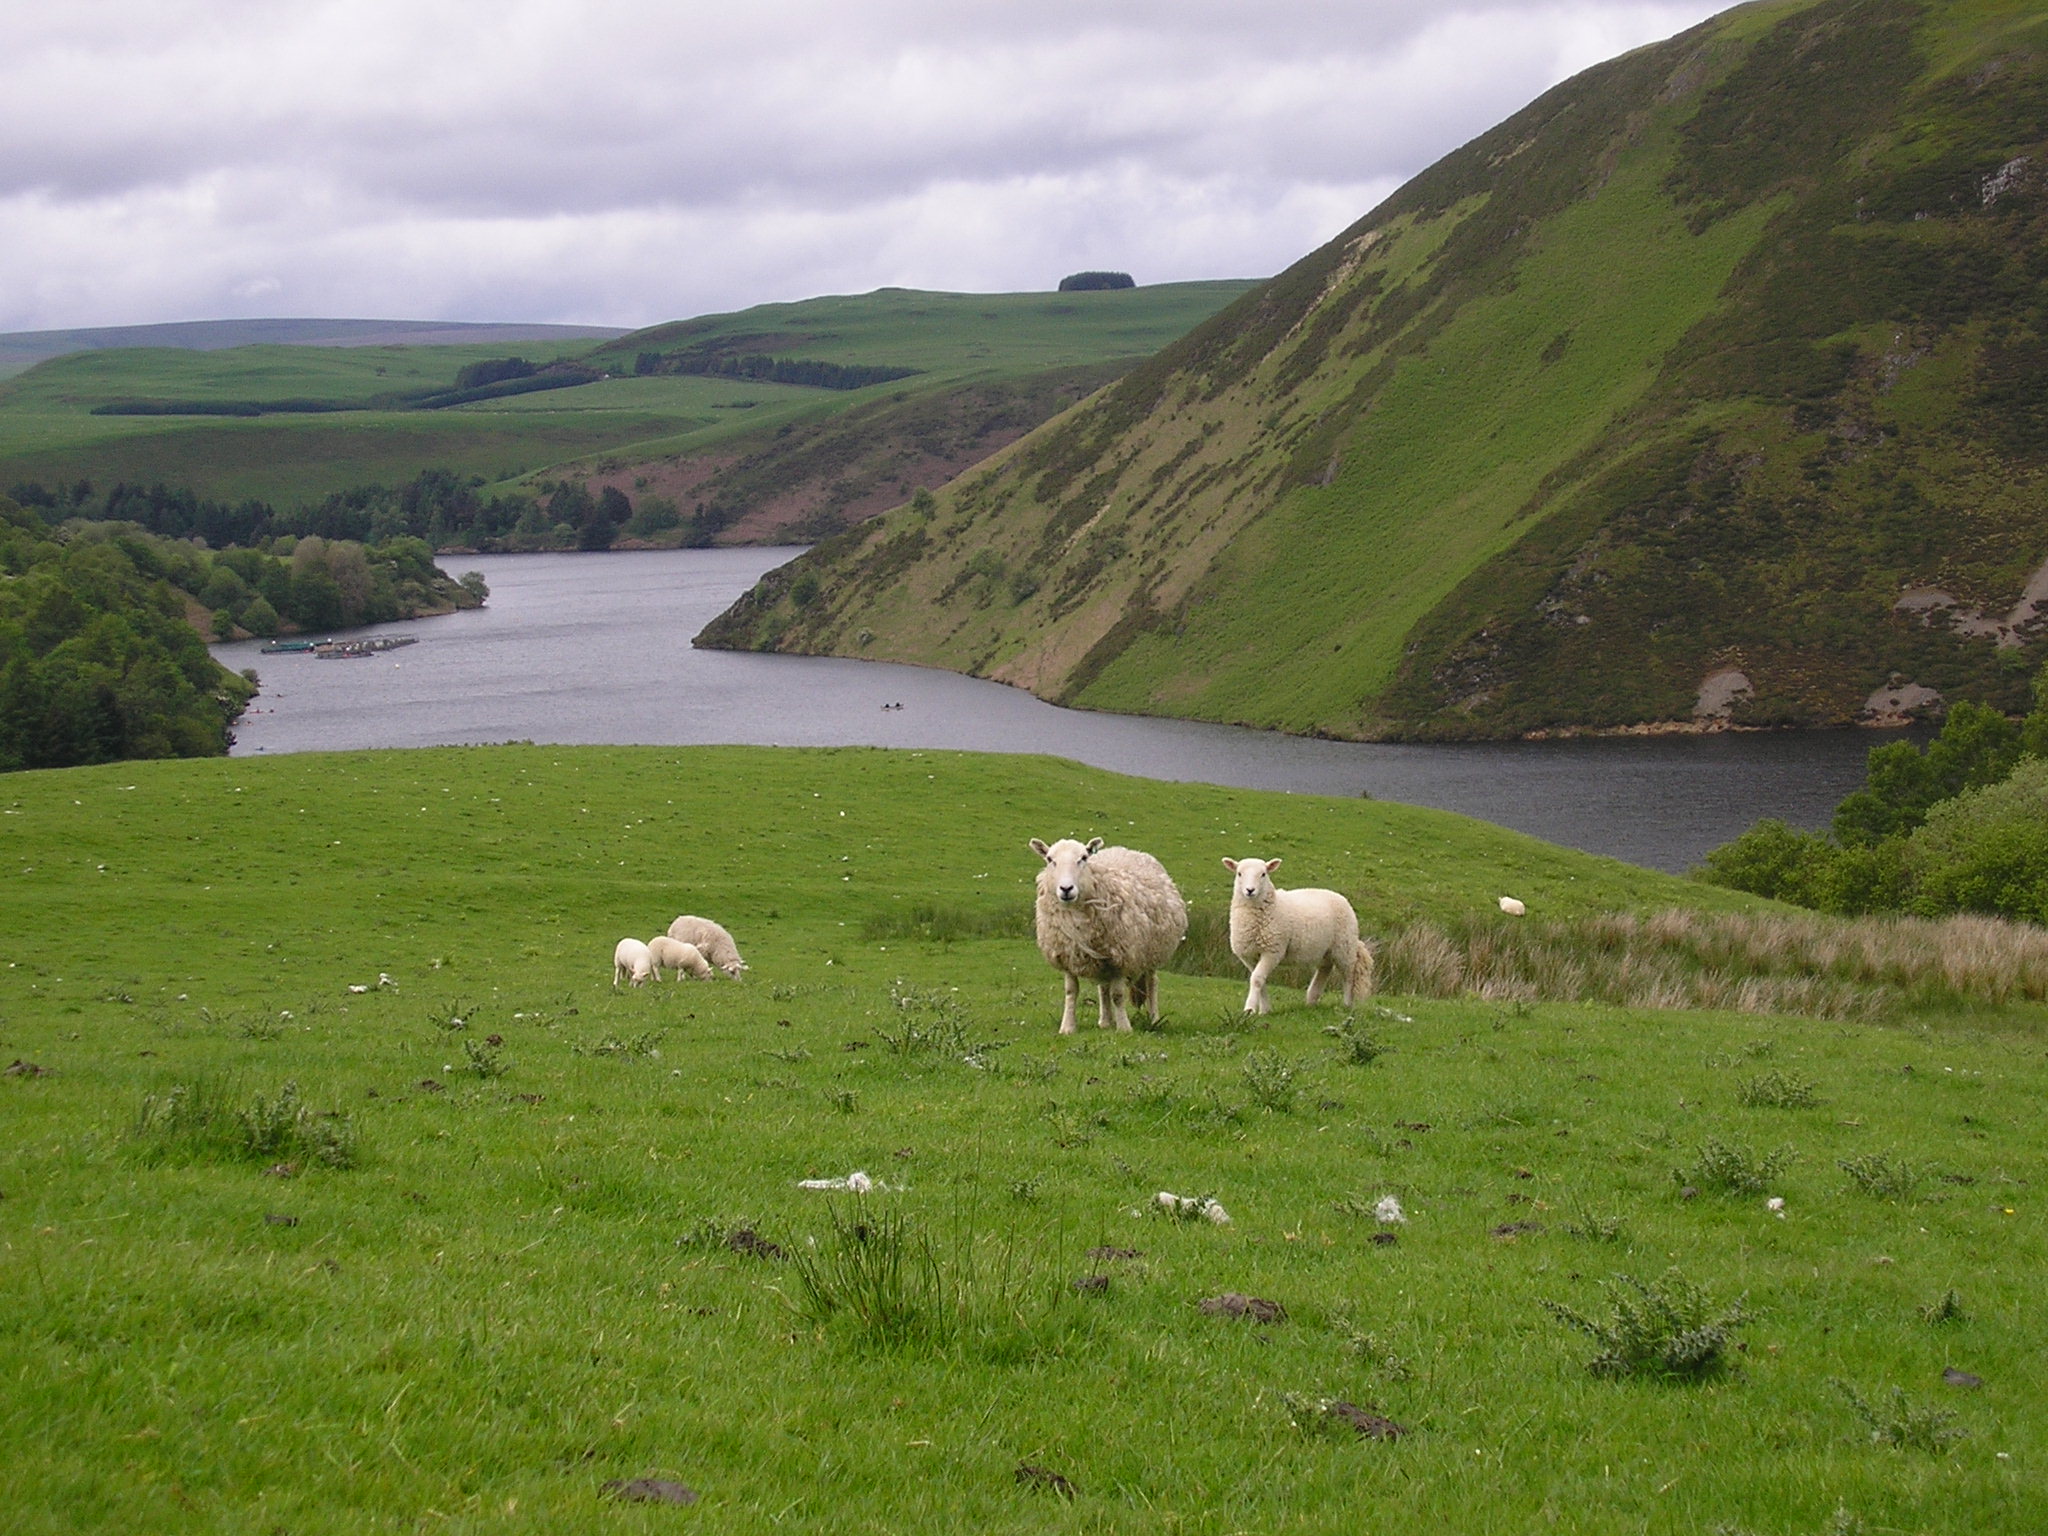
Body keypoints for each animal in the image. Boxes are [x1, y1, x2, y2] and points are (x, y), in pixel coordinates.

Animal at [1032, 835, 1196, 1040]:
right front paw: (1067, 1027)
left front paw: (1124, 1028)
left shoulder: (1121, 957)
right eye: (1050, 860)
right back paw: (1105, 1021)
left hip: (1151, 951)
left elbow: (1118, 995)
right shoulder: (1067, 956)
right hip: (1103, 959)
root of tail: (1128, 850)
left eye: (1083, 858)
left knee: (1151, 983)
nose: (1066, 889)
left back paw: (1153, 1018)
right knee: (1103, 988)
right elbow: (1071, 992)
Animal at [1220, 860, 1368, 1015]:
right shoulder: (1249, 955)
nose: (1250, 890)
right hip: (1325, 950)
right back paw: (1311, 1000)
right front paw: (1265, 1010)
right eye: (1239, 873)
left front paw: (1249, 1010)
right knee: (1325, 969)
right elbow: (1260, 980)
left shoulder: (1273, 951)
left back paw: (1347, 1005)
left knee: (1348, 976)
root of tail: (1338, 895)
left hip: (1344, 946)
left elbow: (1257, 979)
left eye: (1263, 874)